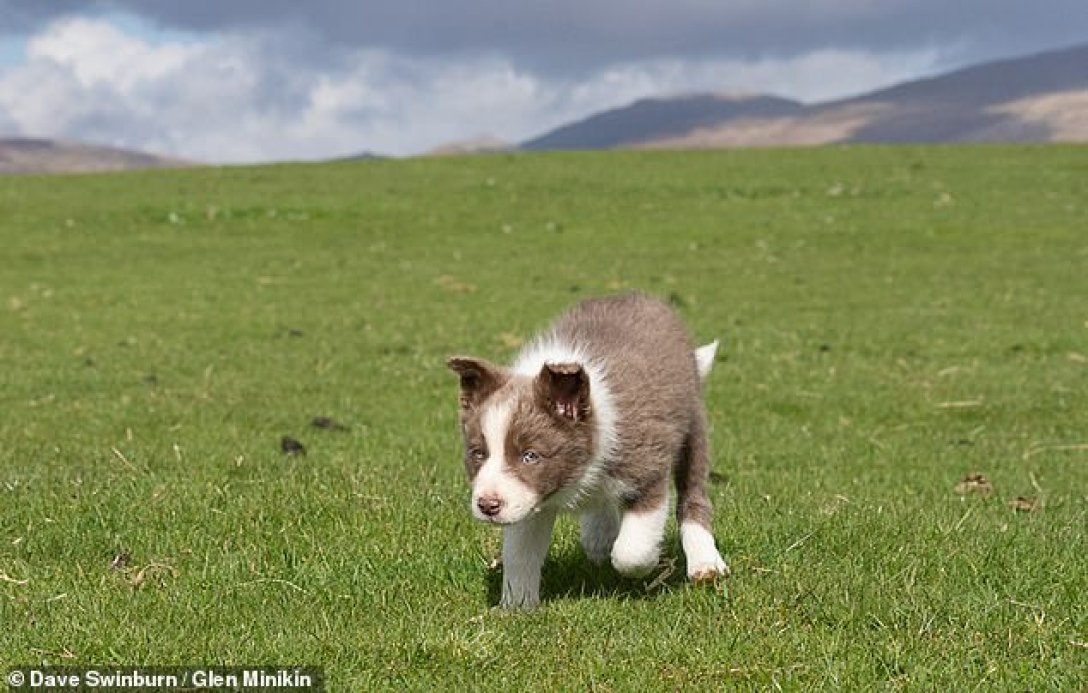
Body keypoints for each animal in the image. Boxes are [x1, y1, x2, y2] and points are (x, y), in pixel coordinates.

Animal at [446, 291, 726, 604]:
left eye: (530, 456)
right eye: (478, 454)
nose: (487, 505)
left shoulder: (647, 467)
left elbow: (631, 552)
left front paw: (648, 563)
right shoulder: (528, 501)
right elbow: (520, 554)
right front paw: (516, 606)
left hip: (693, 426)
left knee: (693, 496)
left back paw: (705, 563)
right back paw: (599, 537)